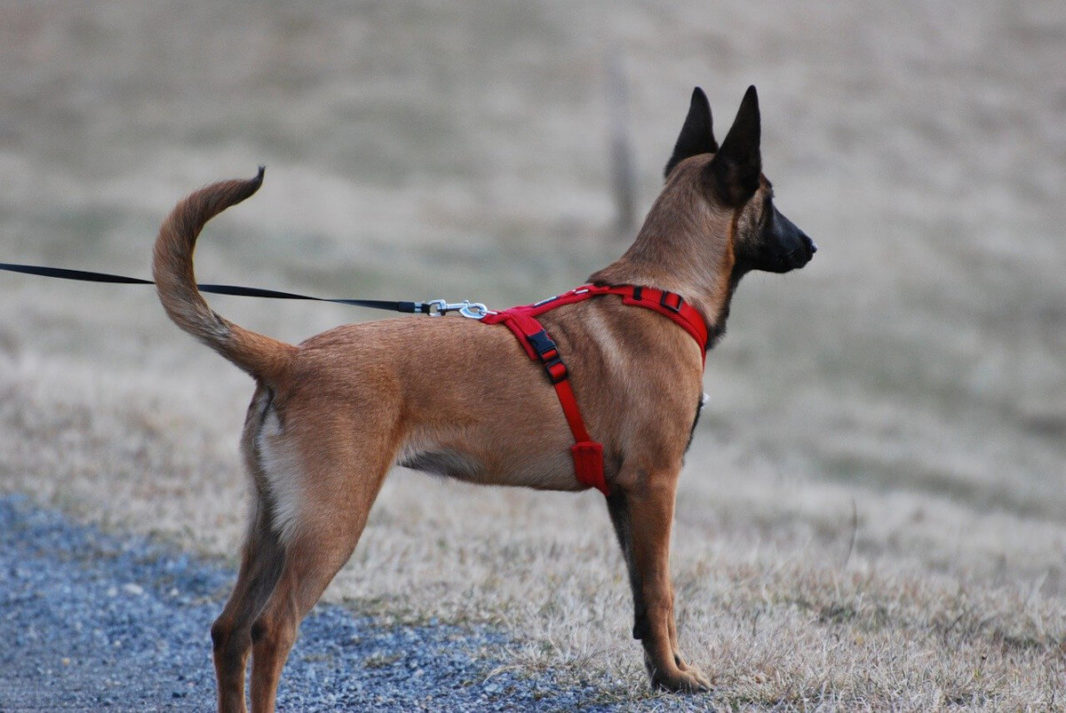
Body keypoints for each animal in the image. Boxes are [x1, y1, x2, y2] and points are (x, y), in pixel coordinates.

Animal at [152, 84, 814, 711]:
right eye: (771, 196)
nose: (810, 246)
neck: (661, 290)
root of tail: (290, 358)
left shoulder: (625, 497)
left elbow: (640, 600)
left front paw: (661, 671)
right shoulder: (656, 484)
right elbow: (661, 592)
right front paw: (677, 678)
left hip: (270, 524)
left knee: (228, 630)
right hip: (329, 523)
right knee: (270, 631)